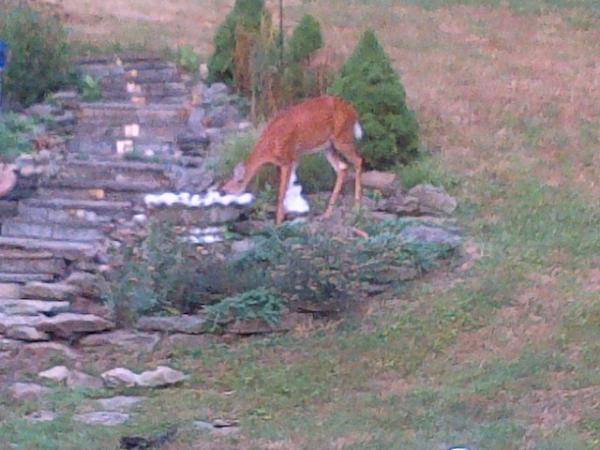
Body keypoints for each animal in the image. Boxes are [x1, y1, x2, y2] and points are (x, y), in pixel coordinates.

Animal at [223, 94, 364, 224]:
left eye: (237, 182)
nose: (223, 193)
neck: (270, 146)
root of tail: (354, 112)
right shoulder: (288, 161)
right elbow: (287, 187)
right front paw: (287, 215)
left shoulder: (288, 159)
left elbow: (281, 192)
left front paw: (278, 222)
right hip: (328, 147)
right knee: (342, 168)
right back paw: (325, 215)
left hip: (342, 138)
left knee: (358, 160)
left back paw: (357, 209)